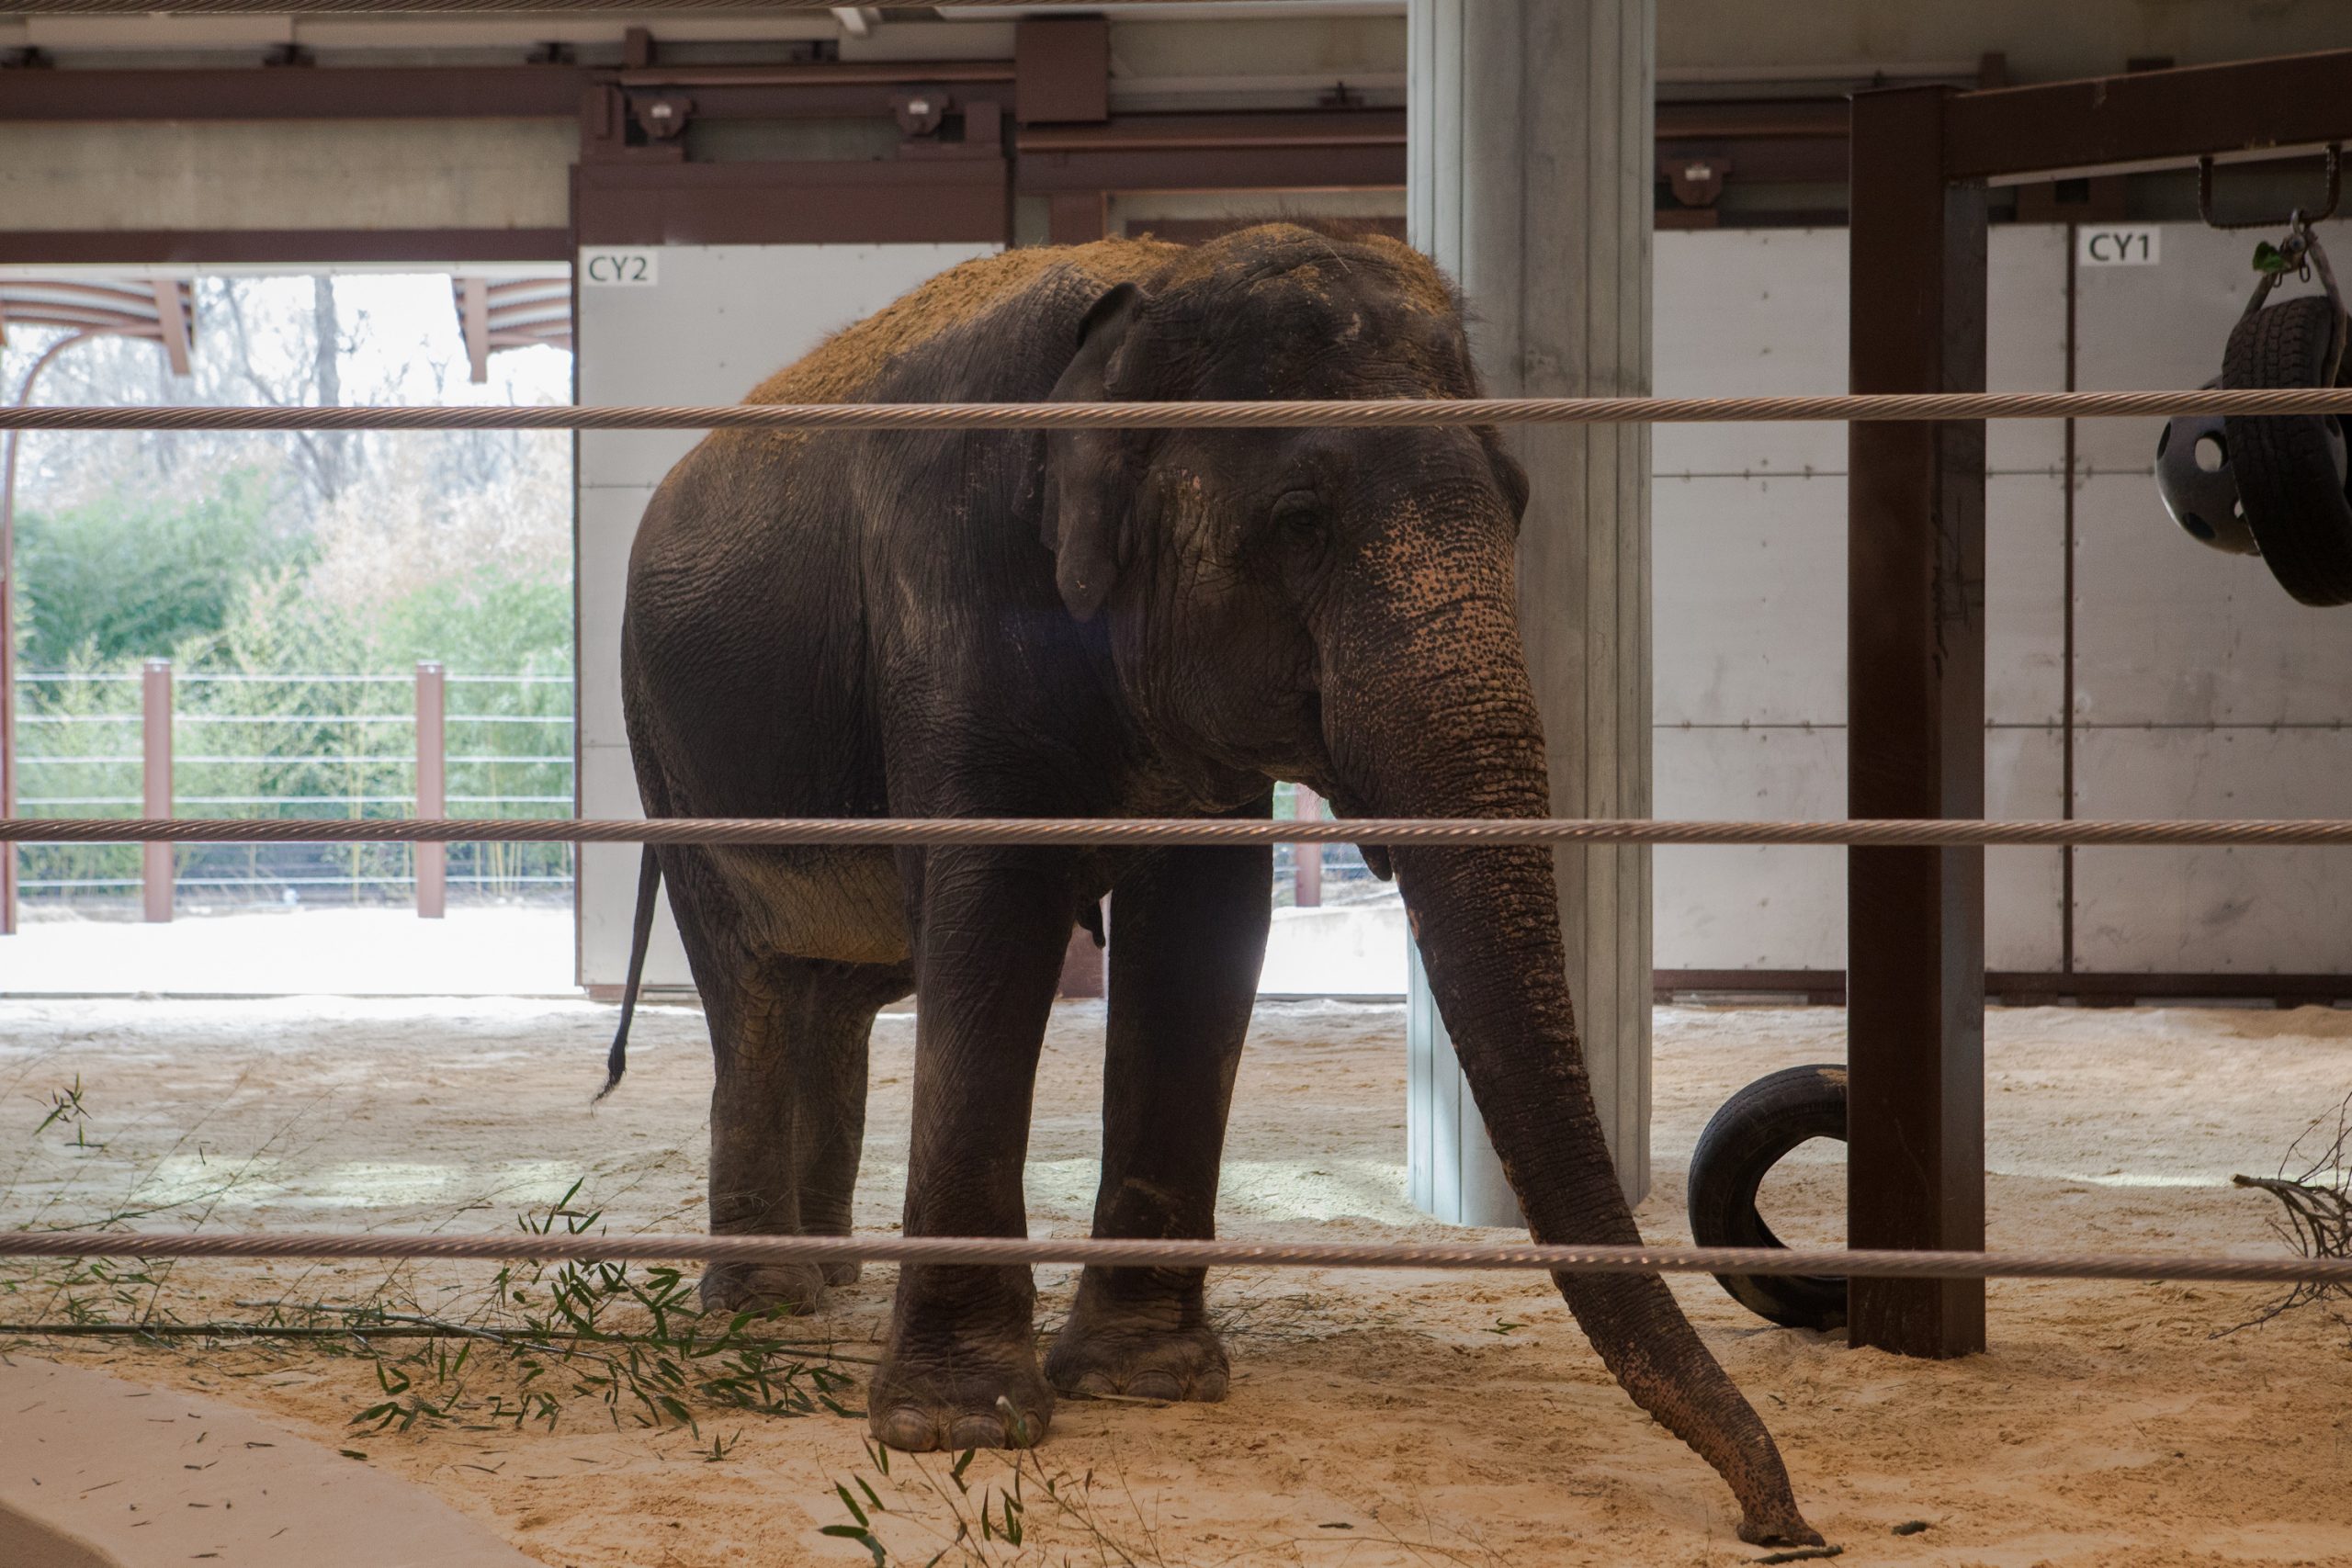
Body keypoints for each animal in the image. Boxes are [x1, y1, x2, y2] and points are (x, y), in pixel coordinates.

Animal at [606, 224, 1819, 1548]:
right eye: (1299, 518)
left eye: (1516, 500)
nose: (1781, 1525)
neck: (1157, 282)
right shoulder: (950, 599)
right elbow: (990, 925)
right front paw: (958, 1426)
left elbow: (1203, 938)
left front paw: (1147, 1380)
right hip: (670, 759)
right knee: (756, 994)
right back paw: (762, 1304)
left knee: (830, 1000)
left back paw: (828, 1280)